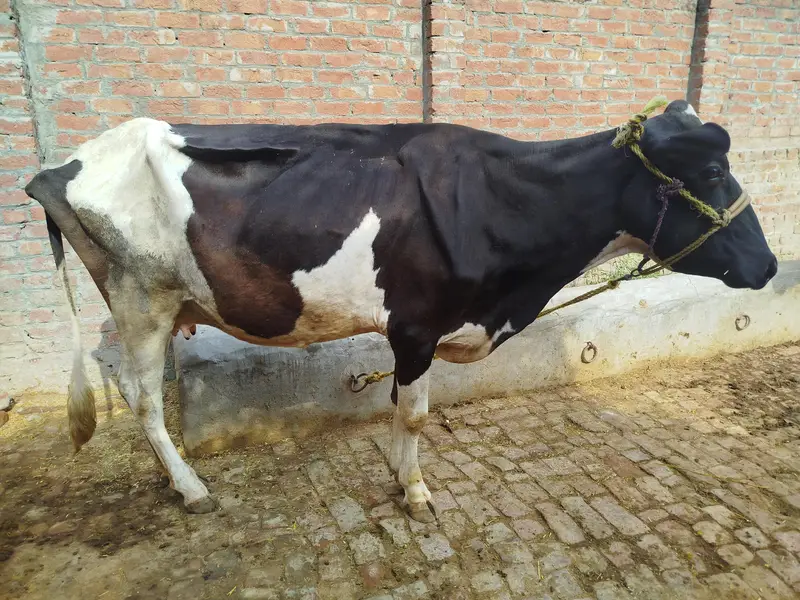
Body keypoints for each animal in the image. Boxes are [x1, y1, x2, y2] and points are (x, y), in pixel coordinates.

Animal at [24, 99, 777, 522]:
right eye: (713, 172)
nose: (769, 265)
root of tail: (62, 165)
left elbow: (396, 407)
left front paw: (396, 473)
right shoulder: (417, 324)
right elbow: (413, 411)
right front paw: (414, 491)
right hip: (140, 296)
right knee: (146, 400)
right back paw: (191, 487)